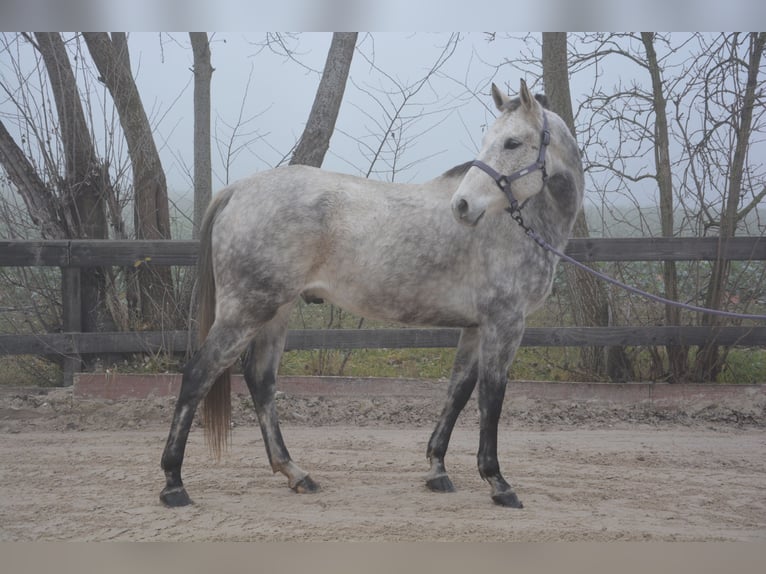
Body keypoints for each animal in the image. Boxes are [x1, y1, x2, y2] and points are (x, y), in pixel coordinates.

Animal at [160, 79, 584, 508]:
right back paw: (174, 483)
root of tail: (237, 190)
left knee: (261, 381)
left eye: (512, 142)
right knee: (197, 376)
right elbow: (491, 397)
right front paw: (498, 481)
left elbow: (458, 391)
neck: (516, 222)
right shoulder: (505, 323)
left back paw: (296, 473)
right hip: (245, 311)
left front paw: (437, 469)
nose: (463, 206)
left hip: (275, 312)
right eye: (490, 141)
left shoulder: (477, 327)